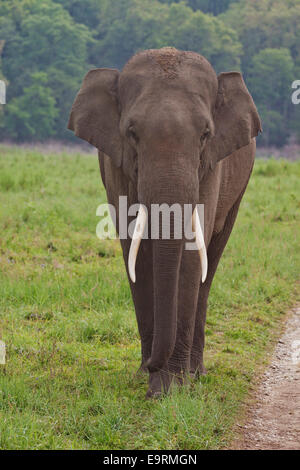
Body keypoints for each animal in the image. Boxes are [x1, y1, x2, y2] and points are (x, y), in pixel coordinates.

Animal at [67, 46, 260, 396]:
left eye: (205, 134)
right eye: (132, 133)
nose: (152, 365)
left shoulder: (211, 166)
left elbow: (190, 255)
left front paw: (171, 387)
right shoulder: (117, 166)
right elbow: (136, 252)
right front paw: (150, 379)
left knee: (210, 263)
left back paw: (196, 373)